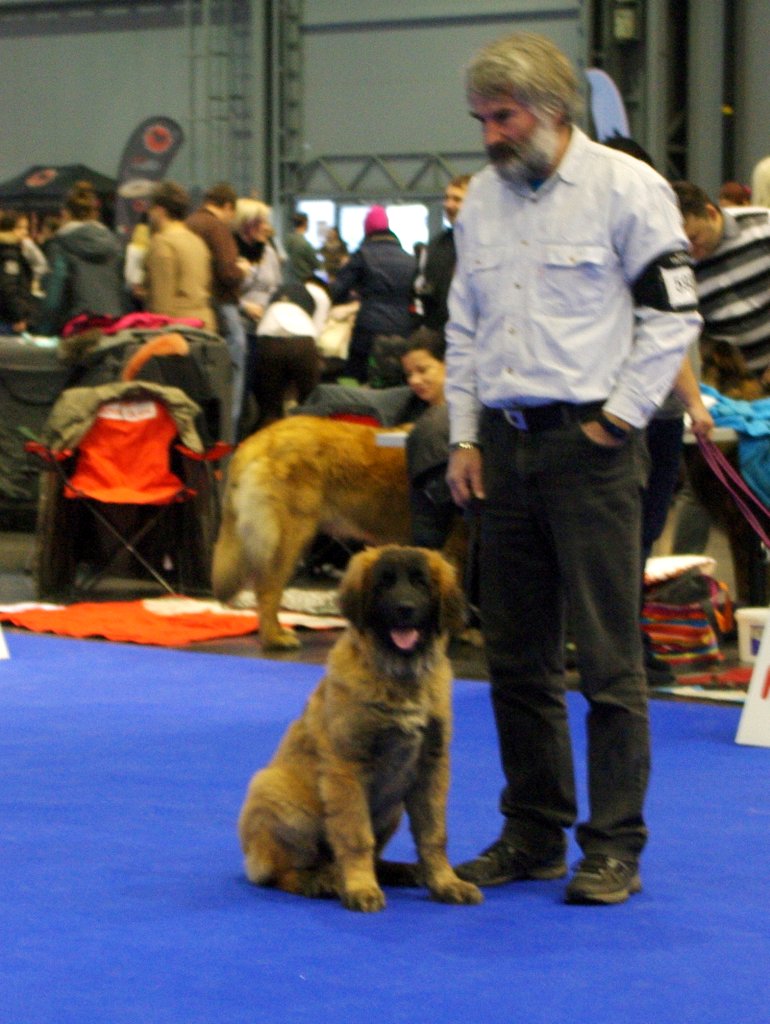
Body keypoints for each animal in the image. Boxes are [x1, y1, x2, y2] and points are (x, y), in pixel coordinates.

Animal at [237, 545, 483, 912]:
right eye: (384, 583)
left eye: (420, 582)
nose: (405, 609)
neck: (399, 676)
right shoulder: (347, 767)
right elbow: (355, 836)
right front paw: (360, 887)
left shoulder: (432, 765)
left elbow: (433, 834)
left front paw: (445, 882)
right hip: (276, 792)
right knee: (280, 872)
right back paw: (319, 880)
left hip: (392, 808)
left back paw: (398, 871)